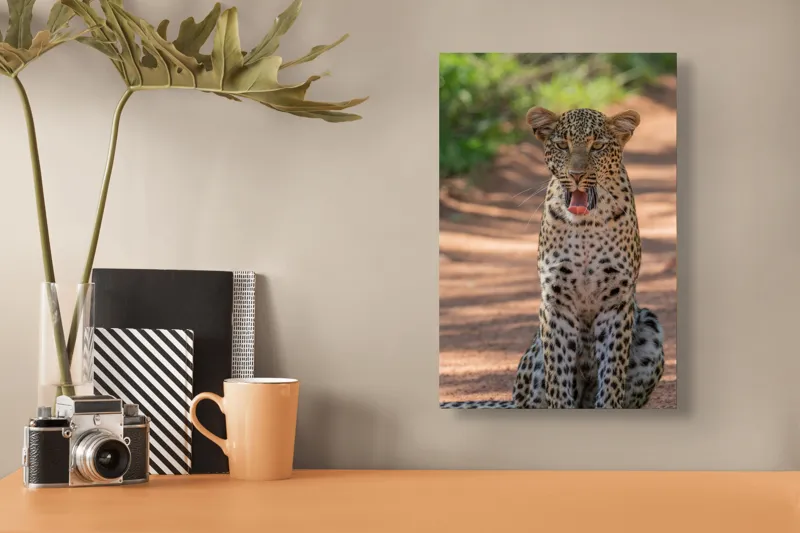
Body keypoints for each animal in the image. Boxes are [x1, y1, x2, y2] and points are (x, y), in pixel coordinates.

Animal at [441, 107, 664, 409]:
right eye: (562, 145)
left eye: (597, 146)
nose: (577, 174)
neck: (586, 226)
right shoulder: (555, 300)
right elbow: (558, 373)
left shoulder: (617, 301)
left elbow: (612, 373)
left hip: (649, 325)